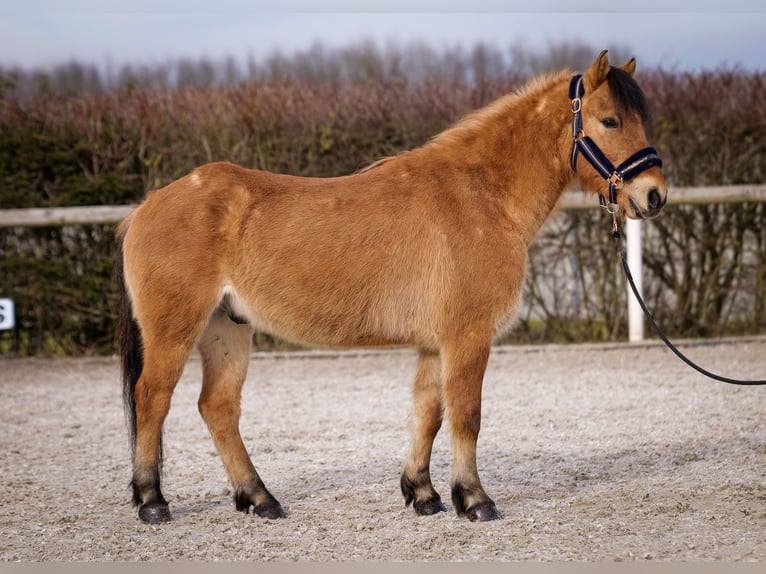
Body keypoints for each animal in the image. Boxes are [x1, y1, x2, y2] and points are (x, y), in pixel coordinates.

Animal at [117, 51, 668, 524]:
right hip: (176, 330)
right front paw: (475, 499)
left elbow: (428, 413)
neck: (481, 196)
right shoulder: (467, 337)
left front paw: (423, 495)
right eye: (609, 121)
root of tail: (147, 205)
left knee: (218, 408)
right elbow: (466, 415)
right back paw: (152, 501)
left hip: (227, 328)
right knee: (152, 398)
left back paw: (259, 498)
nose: (654, 195)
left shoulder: (435, 344)